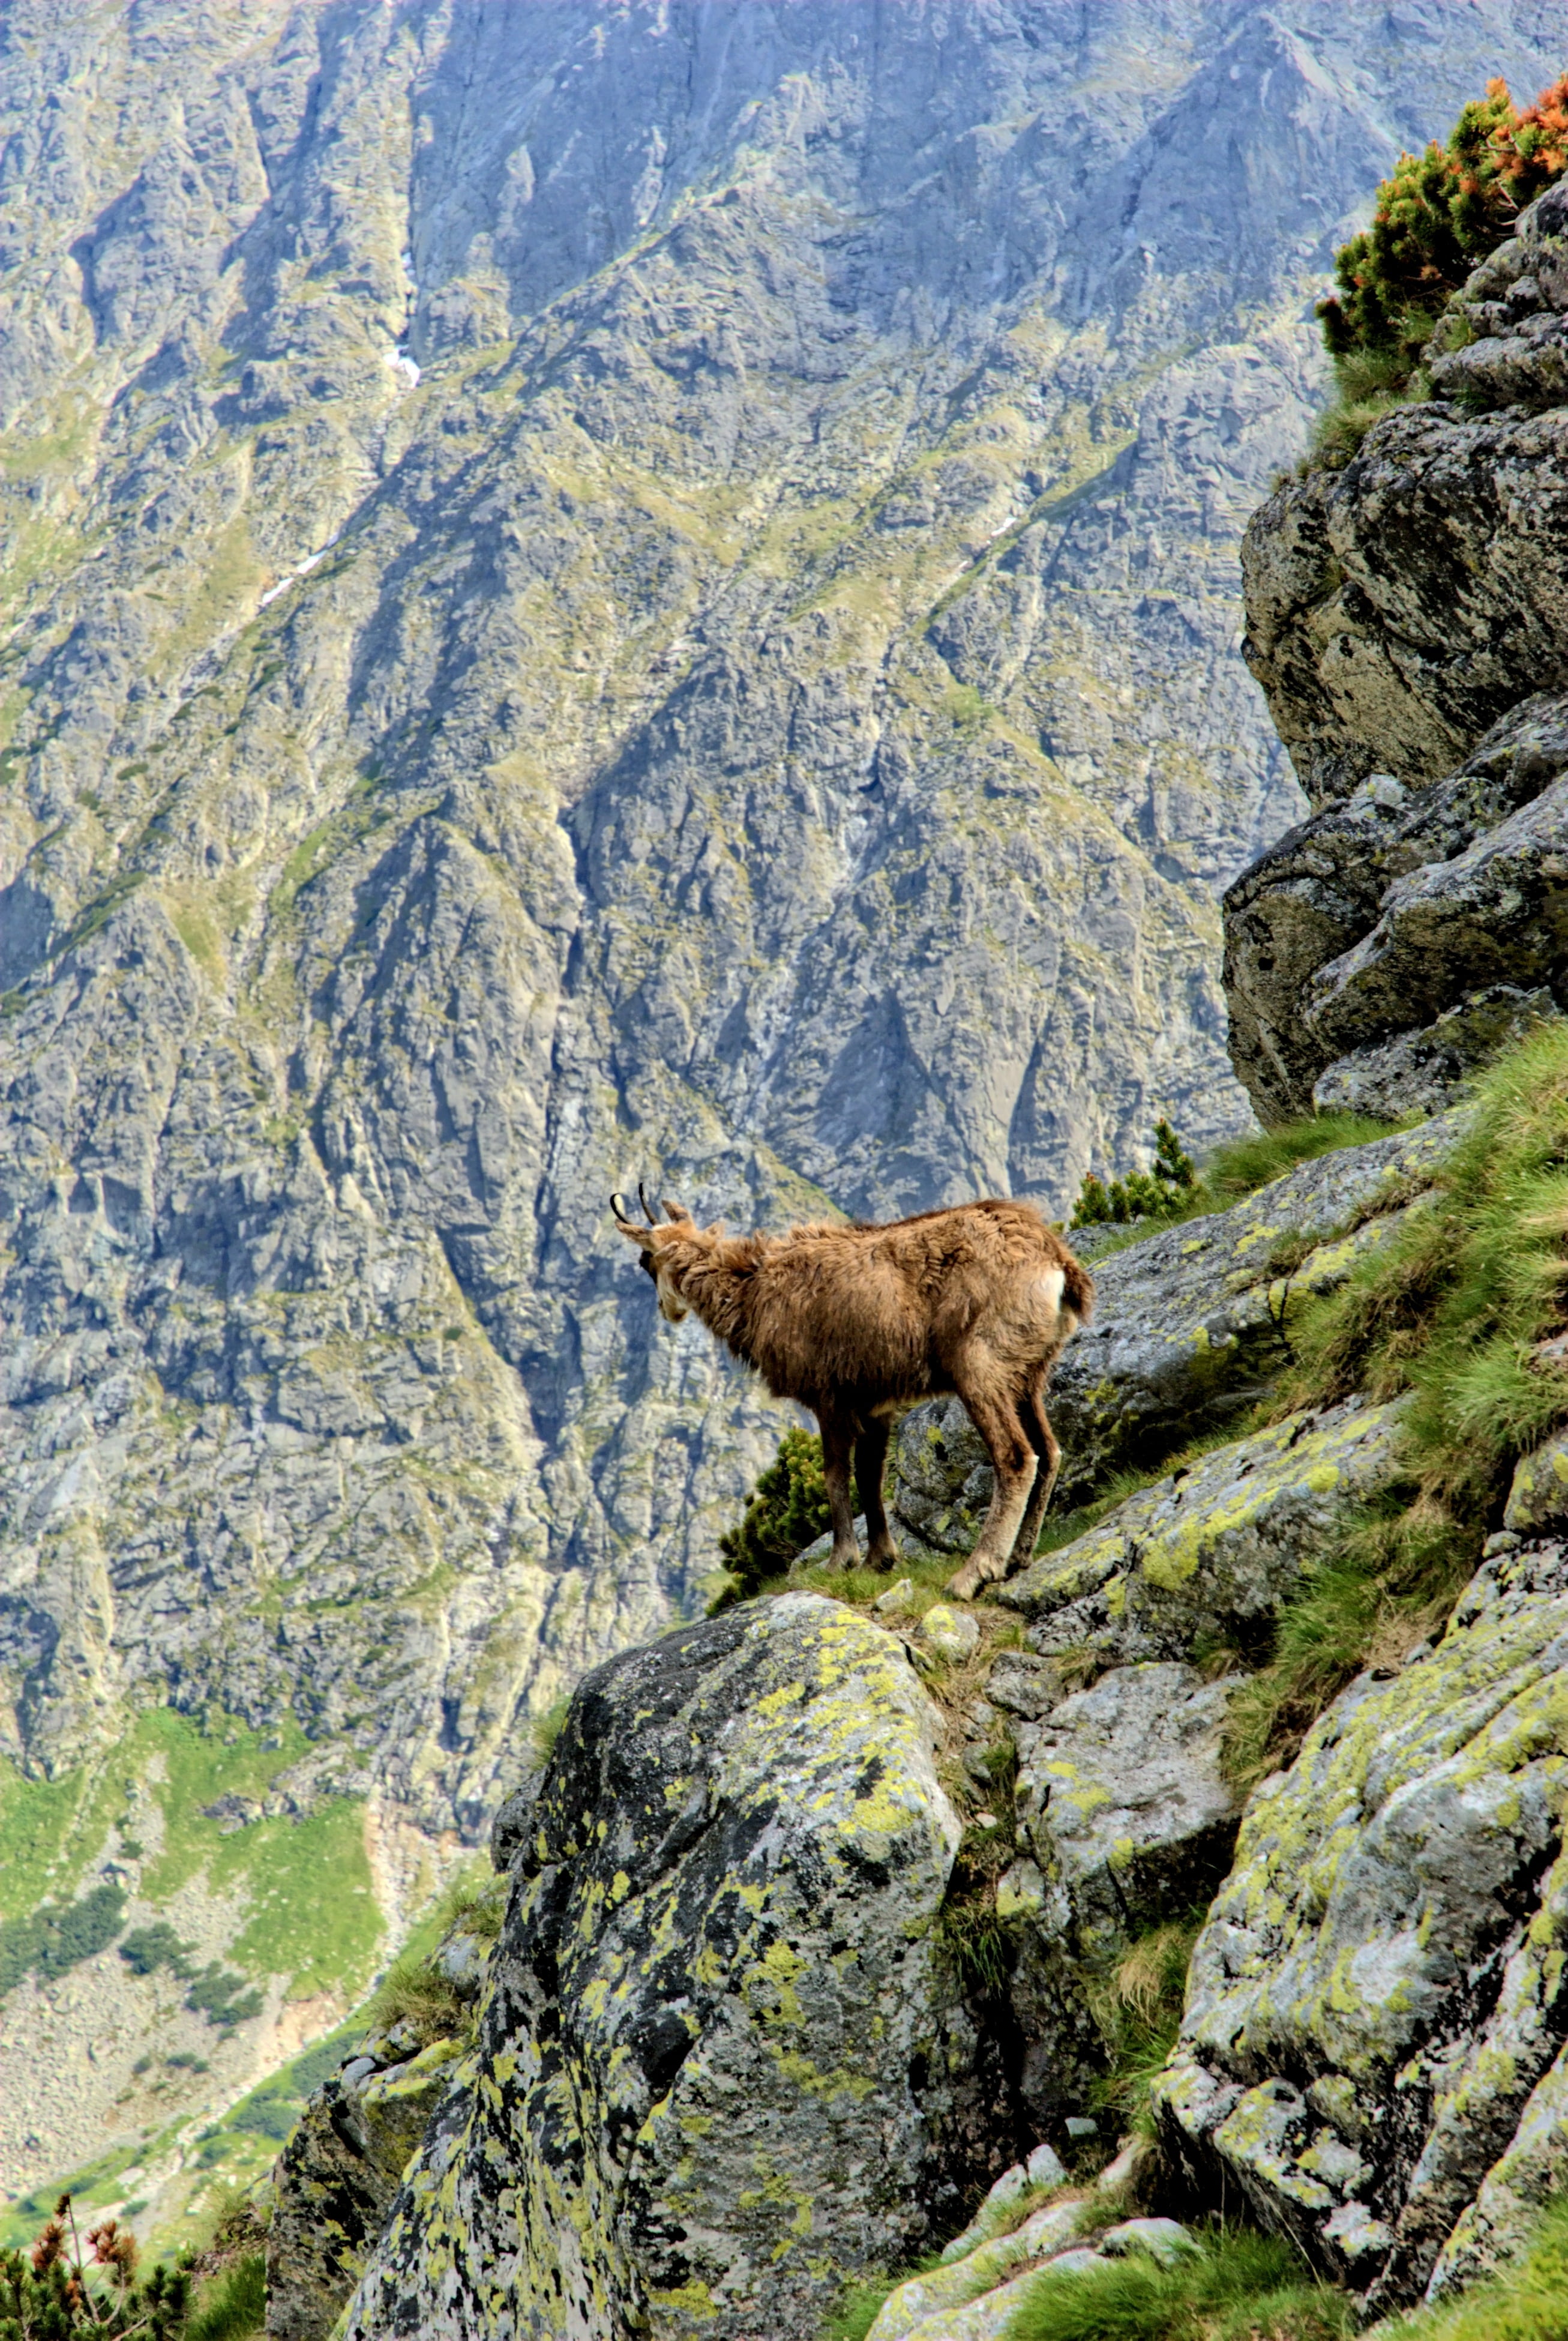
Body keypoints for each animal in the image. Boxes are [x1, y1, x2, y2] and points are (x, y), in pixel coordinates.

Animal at [611, 1187, 1093, 1600]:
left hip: (979, 1364)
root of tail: (1056, 1262)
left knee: (1016, 1456)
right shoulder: (876, 1403)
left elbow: (834, 1474)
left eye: (644, 1261)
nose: (666, 1311)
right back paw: (1019, 1556)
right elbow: (869, 1474)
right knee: (1049, 1450)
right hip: (1028, 1371)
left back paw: (975, 1572)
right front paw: (880, 1558)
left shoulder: (829, 1397)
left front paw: (840, 1560)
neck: (754, 1290)